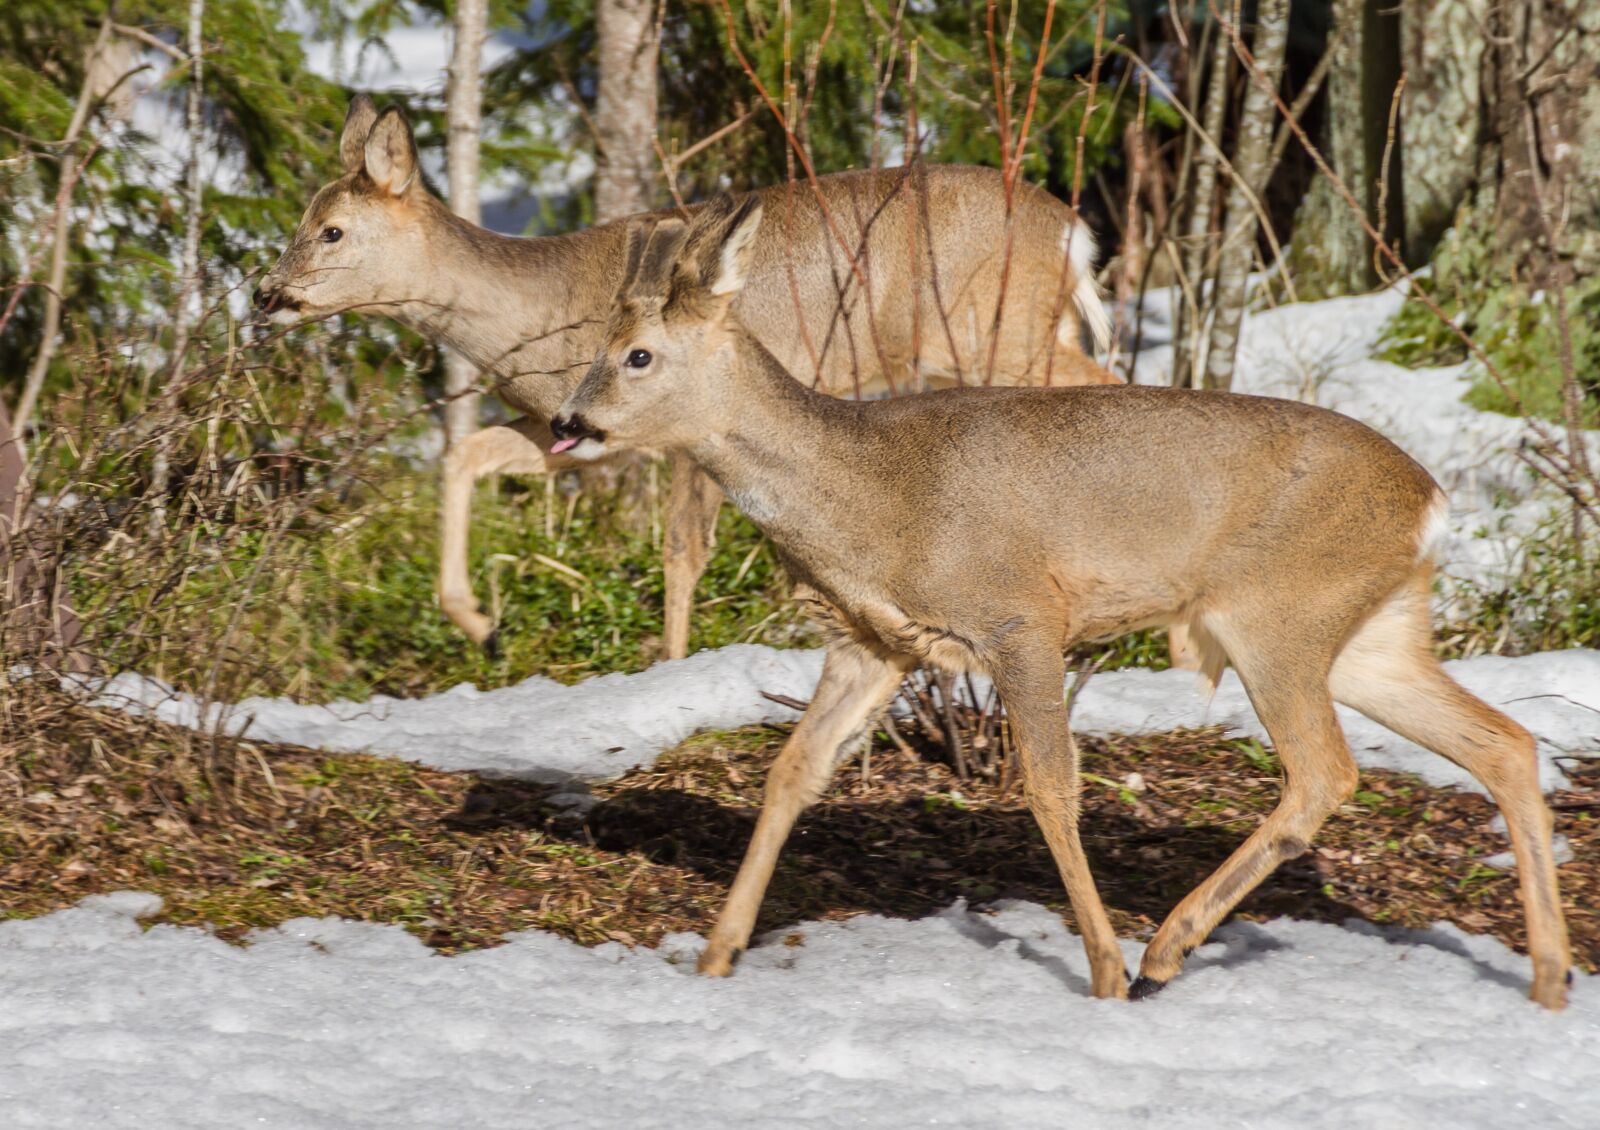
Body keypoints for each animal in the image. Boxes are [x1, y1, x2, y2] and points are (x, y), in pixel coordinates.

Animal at [254, 96, 1121, 663]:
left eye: (331, 230)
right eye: (302, 220)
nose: (264, 295)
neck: (538, 314)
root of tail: (1072, 232)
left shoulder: (677, 426)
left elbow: (681, 549)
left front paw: (668, 663)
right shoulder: (573, 429)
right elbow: (464, 456)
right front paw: (481, 626)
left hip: (995, 328)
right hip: (1027, 328)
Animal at [546, 193, 1573, 1010]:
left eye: (637, 356)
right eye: (598, 350)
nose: (566, 423)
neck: (870, 496)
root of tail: (1432, 501)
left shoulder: (1021, 617)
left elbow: (1050, 784)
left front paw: (1104, 970)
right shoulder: (876, 642)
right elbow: (793, 770)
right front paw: (718, 953)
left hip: (1275, 613)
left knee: (1327, 773)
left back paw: (1164, 949)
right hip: (1370, 635)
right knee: (1505, 743)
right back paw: (1550, 978)